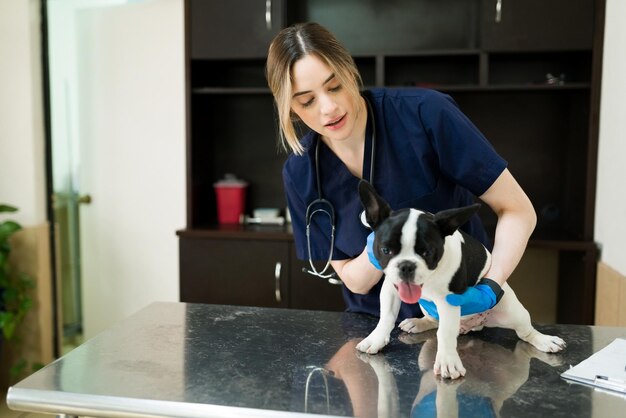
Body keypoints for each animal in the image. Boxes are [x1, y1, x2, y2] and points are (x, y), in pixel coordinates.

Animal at [354, 180, 564, 378]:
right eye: (385, 250)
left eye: (427, 252)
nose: (407, 265)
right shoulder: (391, 289)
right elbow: (387, 316)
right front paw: (377, 338)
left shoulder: (449, 301)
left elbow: (445, 333)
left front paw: (447, 361)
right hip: (427, 309)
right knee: (434, 319)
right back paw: (420, 322)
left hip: (513, 312)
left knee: (525, 331)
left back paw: (544, 340)